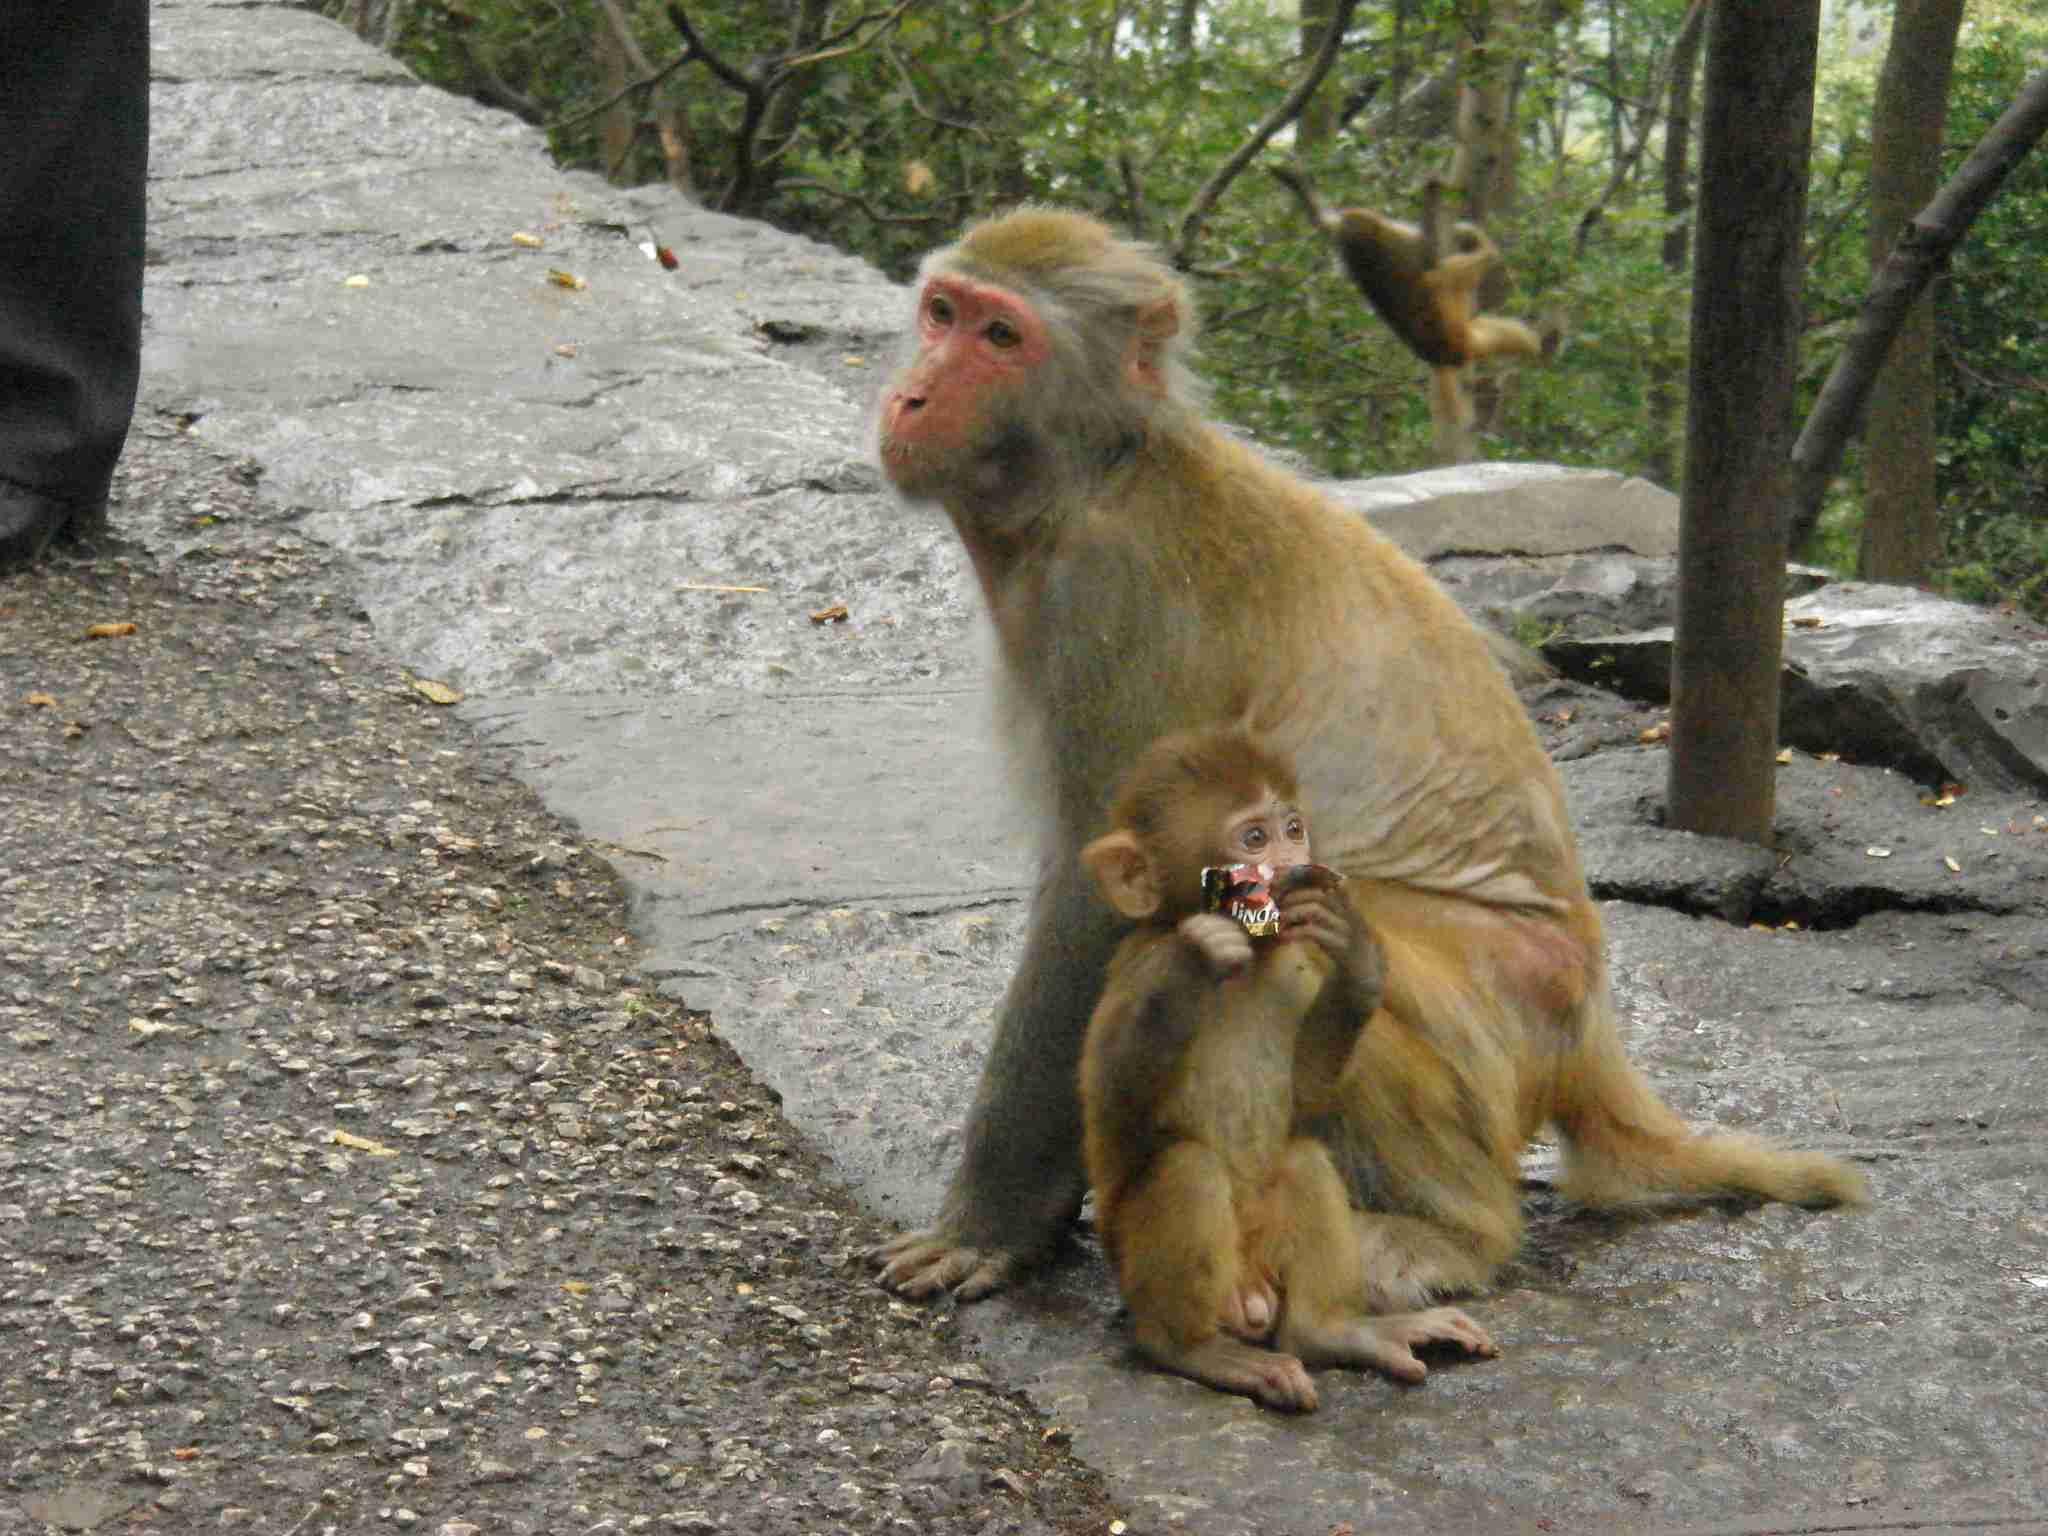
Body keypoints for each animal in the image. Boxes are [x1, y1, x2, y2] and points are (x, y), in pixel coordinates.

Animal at [864, 204, 1875, 1310]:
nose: (913, 391)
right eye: (942, 312)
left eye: (1002, 338)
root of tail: (1591, 1026)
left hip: (1502, 1015)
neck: (1103, 470)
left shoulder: (1115, 603)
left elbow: (1104, 893)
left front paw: (989, 1226)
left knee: (1313, 935)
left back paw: (1446, 1237)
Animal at [1081, 729, 1499, 1417]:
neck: (1252, 969)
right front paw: (1199, 954)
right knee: (1188, 1167)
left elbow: (1307, 1094)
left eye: (1293, 828)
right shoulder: (1135, 968)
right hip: (1146, 1269)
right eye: (1254, 838)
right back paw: (1194, 1350)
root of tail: (1251, 1295)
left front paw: (1358, 961)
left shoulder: (1298, 967)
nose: (1293, 859)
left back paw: (1330, 1331)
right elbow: (1115, 1102)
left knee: (1303, 1160)